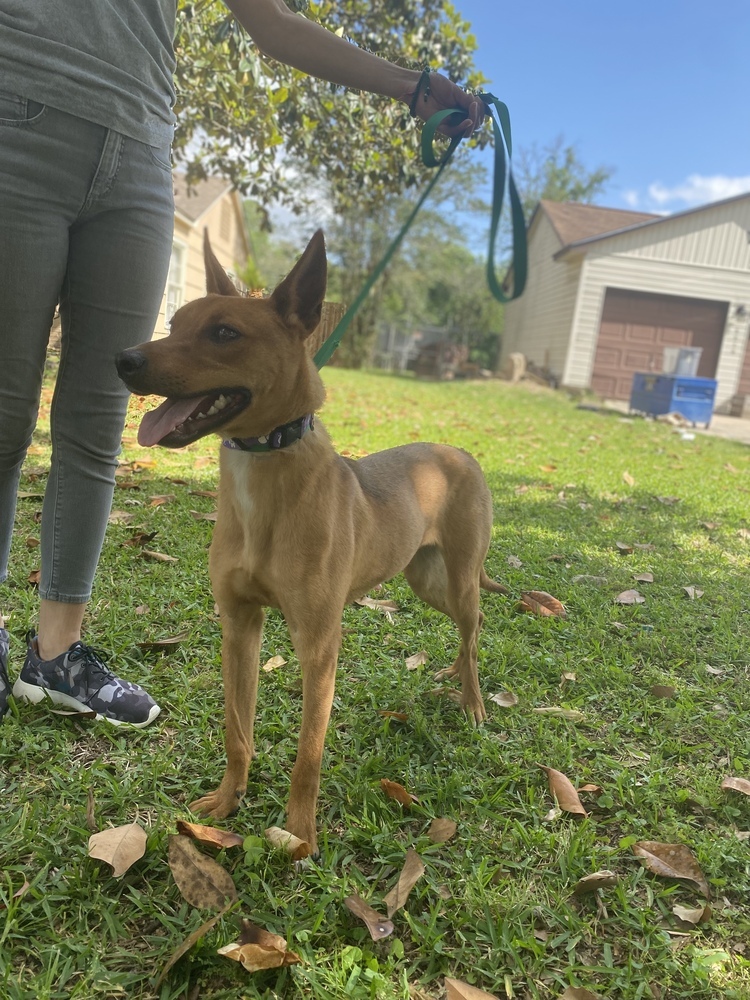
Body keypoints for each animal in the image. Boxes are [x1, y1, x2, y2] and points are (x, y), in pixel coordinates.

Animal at [116, 232, 506, 852]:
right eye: (174, 324)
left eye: (224, 333)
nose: (123, 360)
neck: (264, 469)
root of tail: (458, 452)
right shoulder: (239, 624)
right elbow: (236, 729)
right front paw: (227, 801)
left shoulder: (320, 644)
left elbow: (309, 754)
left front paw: (299, 833)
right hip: (426, 581)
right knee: (466, 629)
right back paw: (450, 674)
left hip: (462, 579)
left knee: (473, 630)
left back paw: (470, 700)